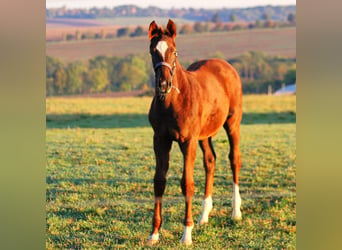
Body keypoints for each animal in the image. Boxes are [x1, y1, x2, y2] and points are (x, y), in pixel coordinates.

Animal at [148, 19, 243, 244]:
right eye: (153, 51)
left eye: (174, 51)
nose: (163, 84)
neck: (173, 102)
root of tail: (225, 65)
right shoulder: (160, 140)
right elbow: (159, 181)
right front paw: (154, 233)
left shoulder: (187, 140)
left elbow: (187, 183)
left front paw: (186, 234)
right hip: (205, 134)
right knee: (210, 160)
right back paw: (204, 215)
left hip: (232, 123)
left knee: (234, 158)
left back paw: (236, 211)